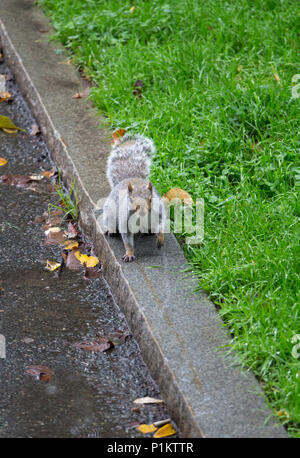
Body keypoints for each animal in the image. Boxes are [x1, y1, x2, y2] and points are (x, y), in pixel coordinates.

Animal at [103, 132, 166, 262]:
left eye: (151, 199)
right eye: (130, 200)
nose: (143, 212)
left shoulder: (159, 212)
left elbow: (161, 225)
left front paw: (160, 239)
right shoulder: (125, 220)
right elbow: (127, 241)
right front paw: (129, 253)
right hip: (109, 211)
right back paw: (111, 230)